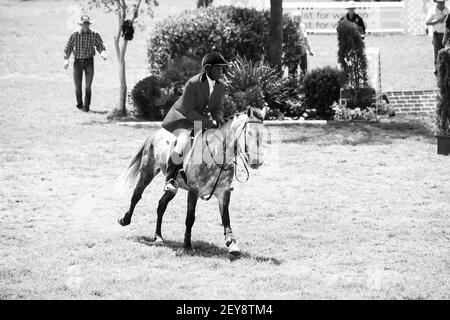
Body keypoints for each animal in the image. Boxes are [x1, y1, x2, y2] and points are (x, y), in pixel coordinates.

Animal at [118, 106, 266, 256]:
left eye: (263, 134)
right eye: (249, 133)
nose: (256, 162)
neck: (215, 154)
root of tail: (155, 133)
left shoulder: (224, 192)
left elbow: (226, 218)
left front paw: (232, 244)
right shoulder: (193, 190)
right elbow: (190, 218)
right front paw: (187, 245)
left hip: (174, 186)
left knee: (161, 205)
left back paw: (158, 236)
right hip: (147, 172)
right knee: (137, 195)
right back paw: (125, 220)